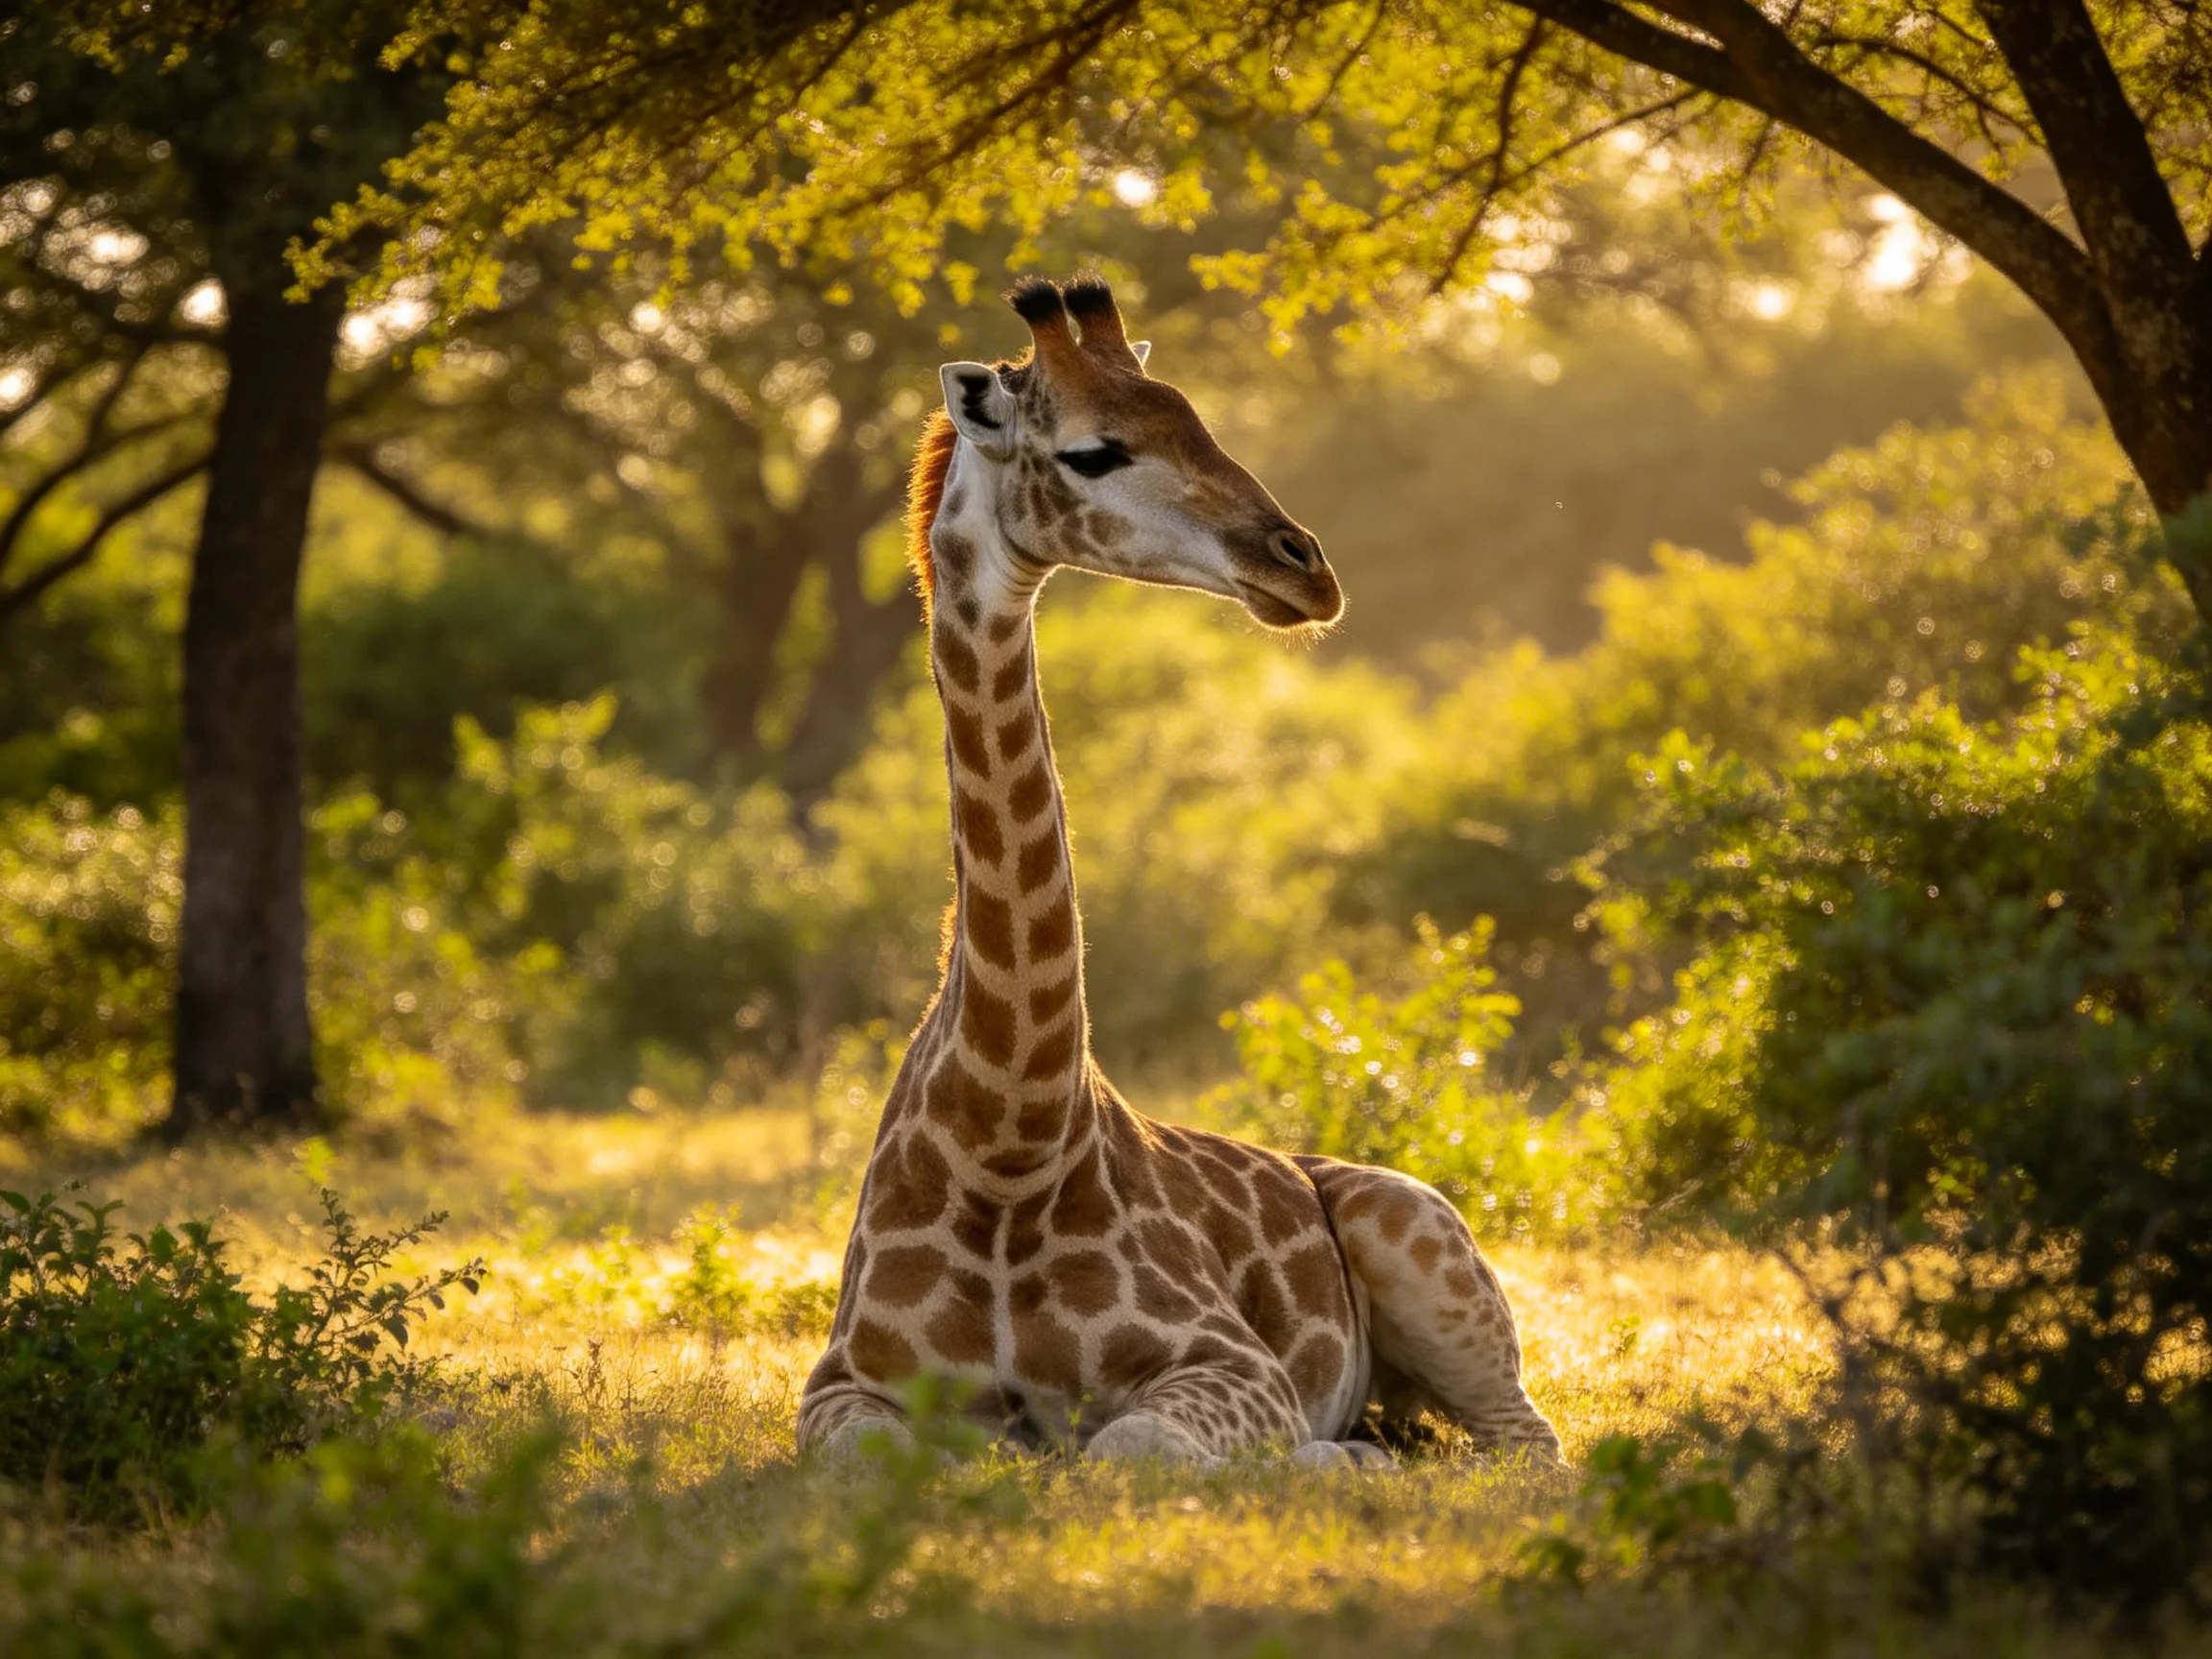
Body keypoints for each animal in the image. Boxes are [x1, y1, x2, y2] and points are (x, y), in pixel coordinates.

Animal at [797, 275, 1560, 1470]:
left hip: (1430, 1254)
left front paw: (1316, 1463)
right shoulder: (839, 1387)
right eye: (1093, 451)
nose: (1307, 568)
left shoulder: (1232, 1364)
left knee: (1529, 1447)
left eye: (1197, 416)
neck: (1004, 1137)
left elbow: (1127, 1450)